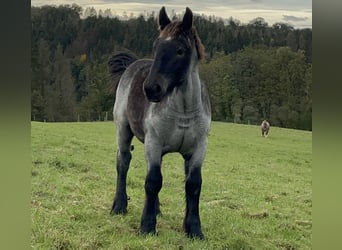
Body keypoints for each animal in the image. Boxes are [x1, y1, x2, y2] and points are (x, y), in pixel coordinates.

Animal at [108, 6, 211, 239]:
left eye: (180, 50)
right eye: (156, 47)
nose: (151, 89)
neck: (183, 111)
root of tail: (132, 65)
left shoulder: (198, 148)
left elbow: (194, 185)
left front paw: (194, 229)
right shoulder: (153, 143)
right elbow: (153, 181)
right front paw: (147, 226)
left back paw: (156, 209)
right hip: (123, 131)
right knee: (123, 162)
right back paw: (119, 205)